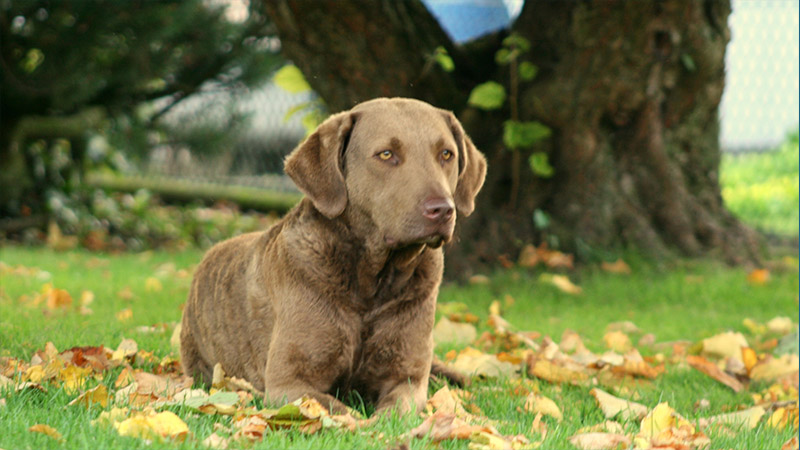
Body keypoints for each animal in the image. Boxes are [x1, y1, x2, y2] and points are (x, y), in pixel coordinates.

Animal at [178, 96, 484, 414]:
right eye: (386, 154)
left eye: (446, 154)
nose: (443, 209)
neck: (372, 285)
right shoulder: (288, 383)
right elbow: (340, 411)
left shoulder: (406, 378)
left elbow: (396, 410)